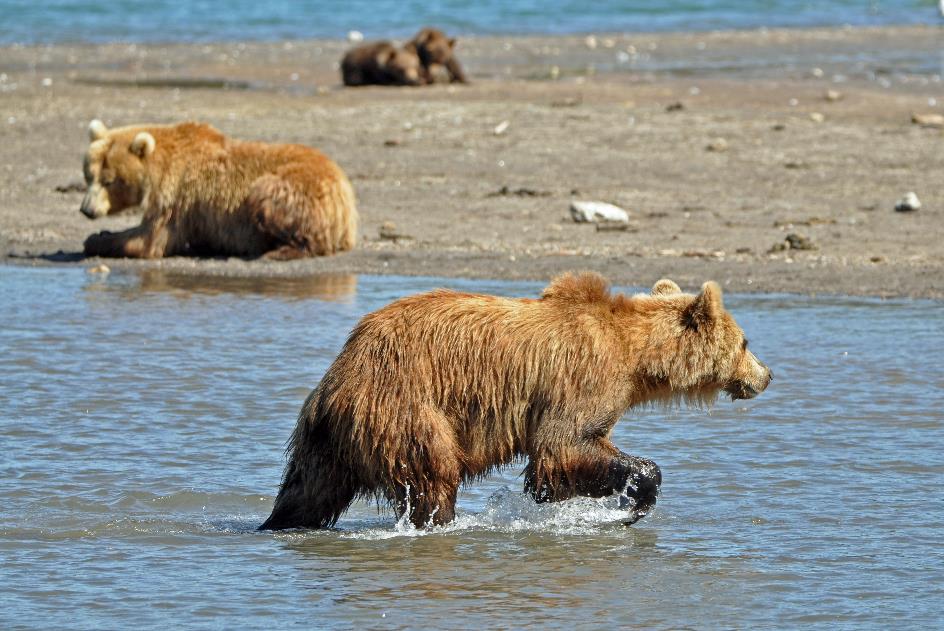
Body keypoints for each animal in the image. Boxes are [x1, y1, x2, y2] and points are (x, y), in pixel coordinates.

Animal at [80, 121, 358, 260]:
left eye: (109, 181)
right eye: (88, 175)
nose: (86, 210)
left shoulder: (176, 196)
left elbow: (149, 239)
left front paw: (95, 239)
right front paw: (102, 233)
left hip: (296, 190)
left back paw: (278, 251)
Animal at [260, 274, 776, 532]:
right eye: (747, 340)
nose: (766, 375)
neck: (635, 358)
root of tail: (341, 373)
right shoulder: (581, 380)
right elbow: (563, 446)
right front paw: (634, 496)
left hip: (327, 438)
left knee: (307, 492)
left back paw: (278, 524)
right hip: (406, 406)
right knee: (433, 476)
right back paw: (440, 524)